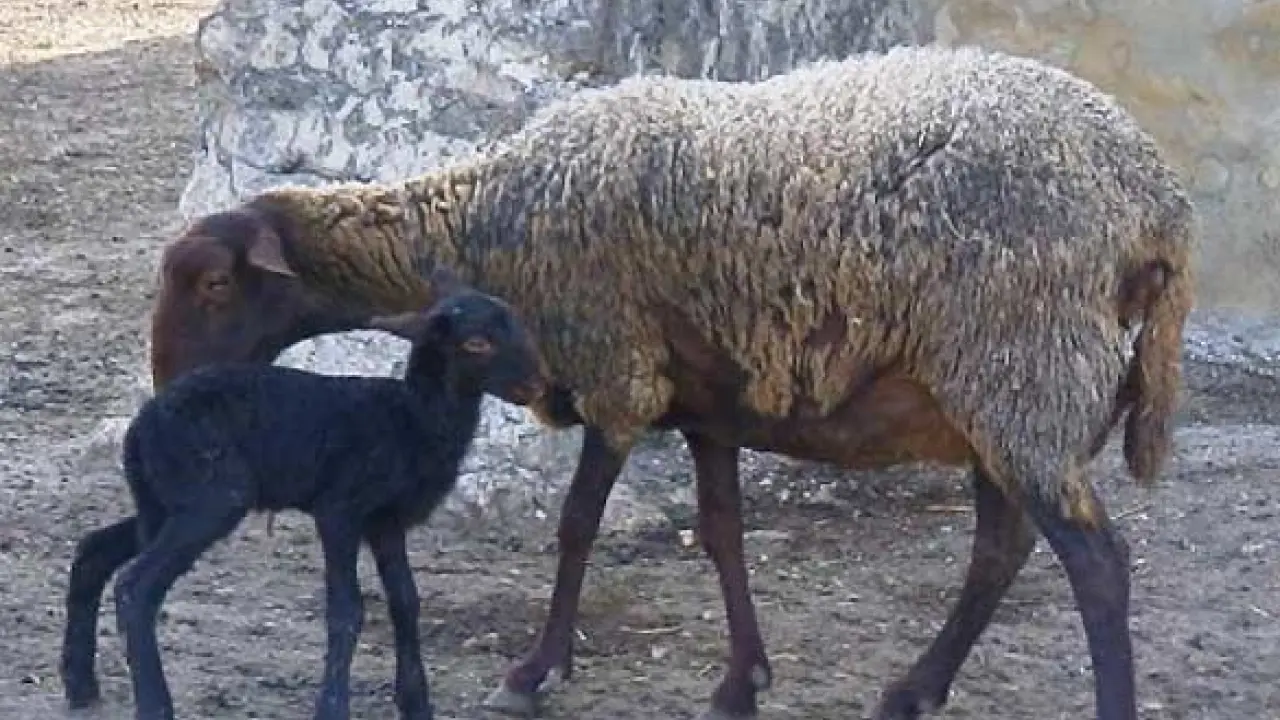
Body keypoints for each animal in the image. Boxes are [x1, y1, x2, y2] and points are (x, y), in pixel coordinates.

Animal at [59, 275, 550, 720]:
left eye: (519, 325)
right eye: (477, 343)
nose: (537, 386)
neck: (412, 418)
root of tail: (140, 429)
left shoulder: (386, 521)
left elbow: (406, 602)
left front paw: (416, 704)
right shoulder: (339, 510)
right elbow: (346, 609)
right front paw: (333, 707)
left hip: (165, 502)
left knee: (94, 551)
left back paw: (80, 684)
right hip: (211, 498)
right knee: (136, 585)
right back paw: (154, 705)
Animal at [143, 44, 1197, 720]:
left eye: (212, 283)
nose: (164, 385)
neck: (486, 223)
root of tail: (1155, 201)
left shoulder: (616, 368)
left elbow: (577, 525)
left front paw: (537, 668)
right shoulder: (710, 402)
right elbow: (722, 533)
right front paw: (743, 681)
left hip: (1026, 374)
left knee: (1097, 566)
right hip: (1003, 398)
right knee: (1001, 552)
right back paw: (914, 689)